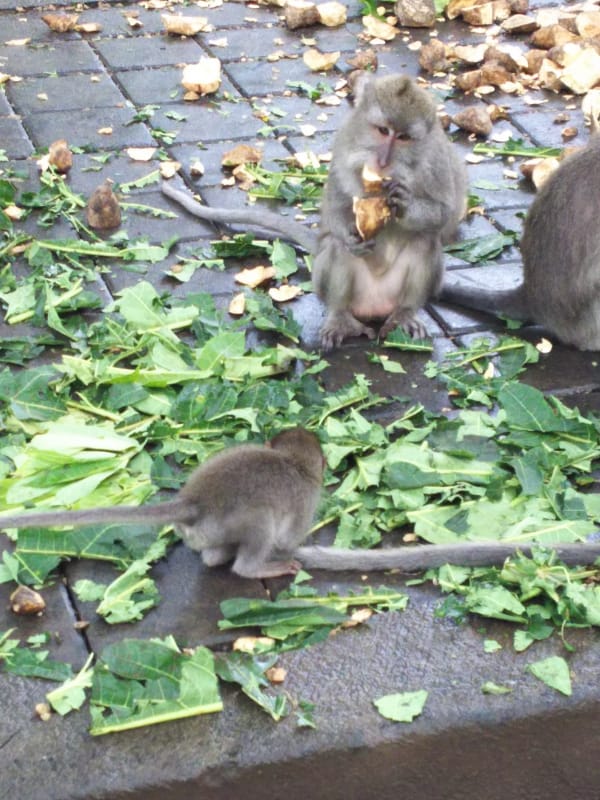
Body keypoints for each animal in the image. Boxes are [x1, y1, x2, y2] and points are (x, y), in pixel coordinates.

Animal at [0, 428, 325, 580]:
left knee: (212, 555)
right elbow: (286, 540)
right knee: (261, 528)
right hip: (245, 520)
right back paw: (258, 568)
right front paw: (291, 549)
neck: (295, 463)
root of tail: (194, 502)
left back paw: (218, 558)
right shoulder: (306, 500)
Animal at [160, 74, 467, 351]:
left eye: (403, 137)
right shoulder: (344, 147)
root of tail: (375, 309)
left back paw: (403, 315)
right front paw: (351, 235)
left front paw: (404, 203)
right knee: (335, 248)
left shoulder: (436, 161)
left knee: (424, 241)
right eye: (382, 130)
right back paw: (341, 317)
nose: (382, 161)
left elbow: (444, 213)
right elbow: (335, 206)